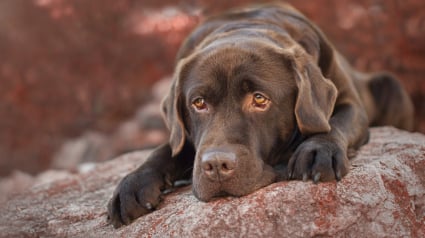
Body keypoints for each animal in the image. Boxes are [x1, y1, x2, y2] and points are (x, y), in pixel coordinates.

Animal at [107, 3, 414, 227]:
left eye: (259, 99)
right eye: (198, 103)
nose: (216, 165)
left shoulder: (352, 105)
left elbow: (333, 125)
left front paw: (317, 151)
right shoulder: (185, 139)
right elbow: (165, 150)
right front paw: (131, 185)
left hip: (392, 85)